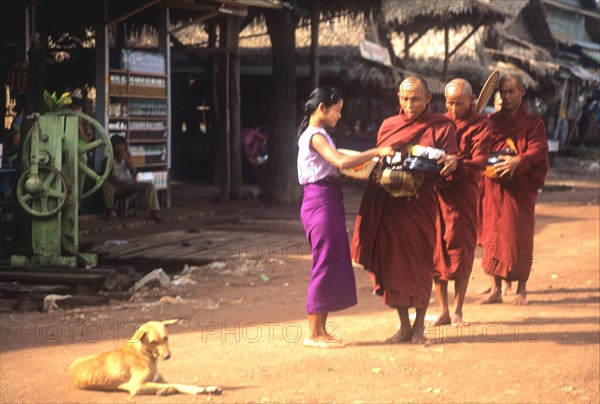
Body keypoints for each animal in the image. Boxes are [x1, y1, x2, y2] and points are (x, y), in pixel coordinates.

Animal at [68, 320, 221, 396]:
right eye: (153, 341)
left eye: (166, 338)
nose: (167, 356)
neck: (143, 352)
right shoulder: (136, 386)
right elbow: (175, 385)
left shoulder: (159, 380)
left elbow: (181, 385)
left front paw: (208, 388)